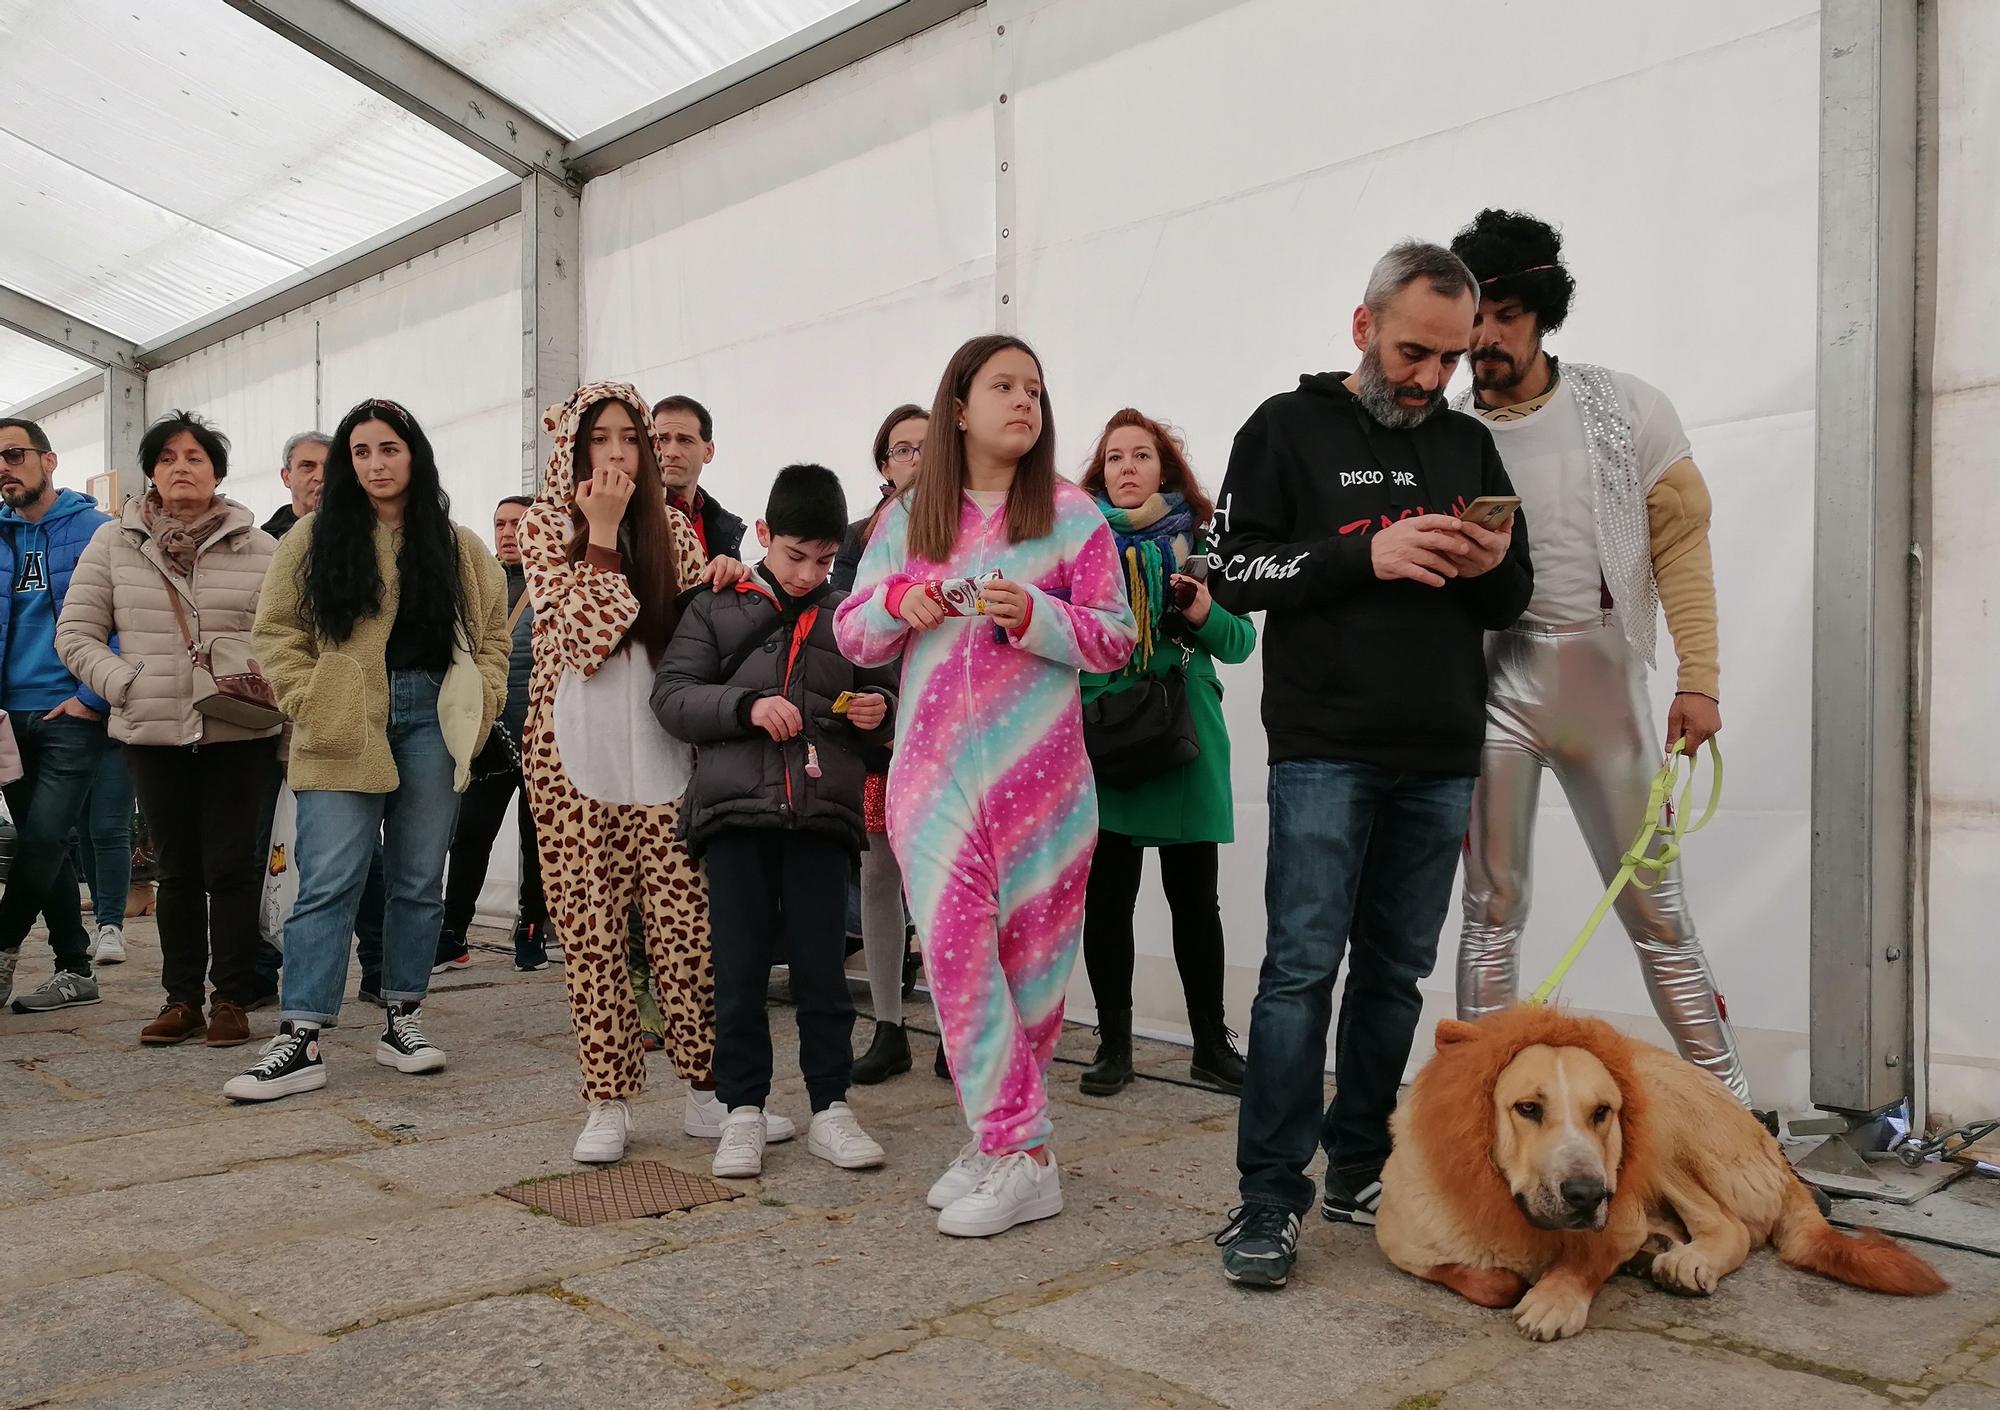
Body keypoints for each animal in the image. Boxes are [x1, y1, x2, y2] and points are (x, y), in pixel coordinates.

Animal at [1376, 1008, 1936, 1336]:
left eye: (1602, 1112)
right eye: (1527, 1108)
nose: (1588, 1194)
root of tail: (1773, 1149)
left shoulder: (1618, 1219)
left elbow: (1586, 1260)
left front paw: (1556, 1297)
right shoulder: (1402, 1246)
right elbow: (1485, 1281)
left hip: (1662, 1123)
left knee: (1729, 1226)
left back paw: (1686, 1261)